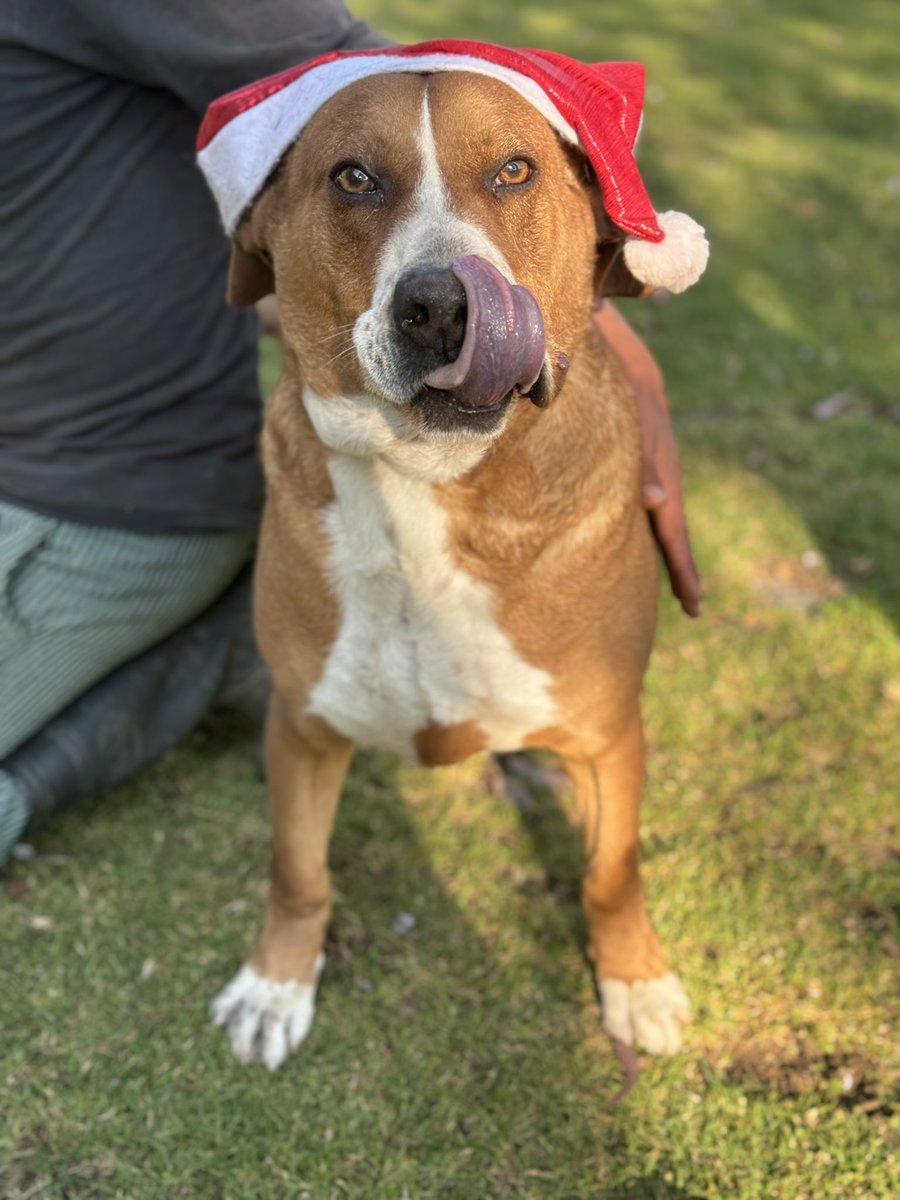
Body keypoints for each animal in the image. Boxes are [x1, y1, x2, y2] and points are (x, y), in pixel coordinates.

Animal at [196, 44, 705, 1070]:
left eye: (515, 170)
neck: (422, 480)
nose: (440, 305)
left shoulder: (610, 734)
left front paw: (634, 980)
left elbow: (612, 871)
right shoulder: (302, 725)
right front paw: (276, 982)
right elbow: (298, 872)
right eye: (353, 177)